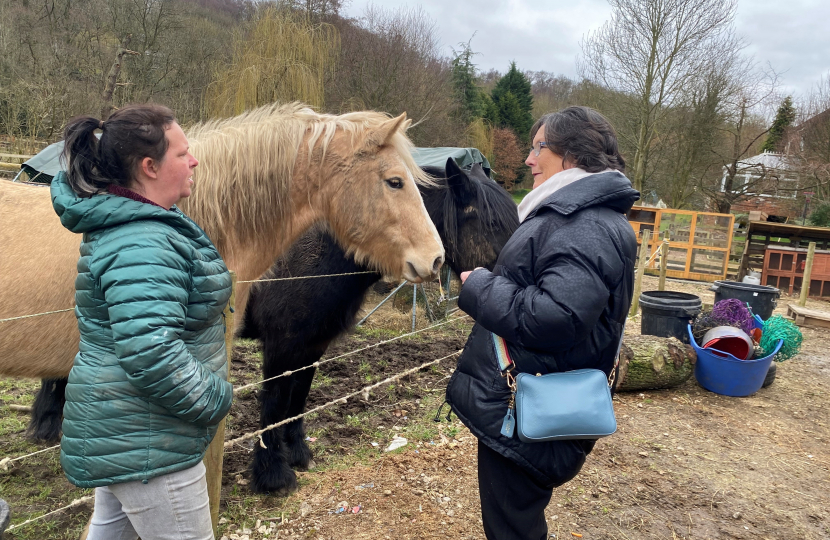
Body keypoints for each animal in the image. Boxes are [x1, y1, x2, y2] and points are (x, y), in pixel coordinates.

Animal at [237, 157, 516, 494]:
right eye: (493, 224)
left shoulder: (312, 345)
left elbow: (298, 399)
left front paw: (299, 454)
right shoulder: (281, 346)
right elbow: (274, 405)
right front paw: (273, 475)